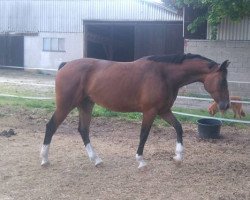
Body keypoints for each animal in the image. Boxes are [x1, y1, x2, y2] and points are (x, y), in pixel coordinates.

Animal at [40, 53, 229, 169]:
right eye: (222, 81)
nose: (226, 105)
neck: (164, 74)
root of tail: (66, 65)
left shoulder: (164, 111)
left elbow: (178, 127)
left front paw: (178, 156)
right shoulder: (150, 111)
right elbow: (144, 134)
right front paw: (141, 161)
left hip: (86, 105)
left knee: (83, 130)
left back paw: (96, 160)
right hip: (66, 105)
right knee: (51, 126)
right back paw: (44, 159)